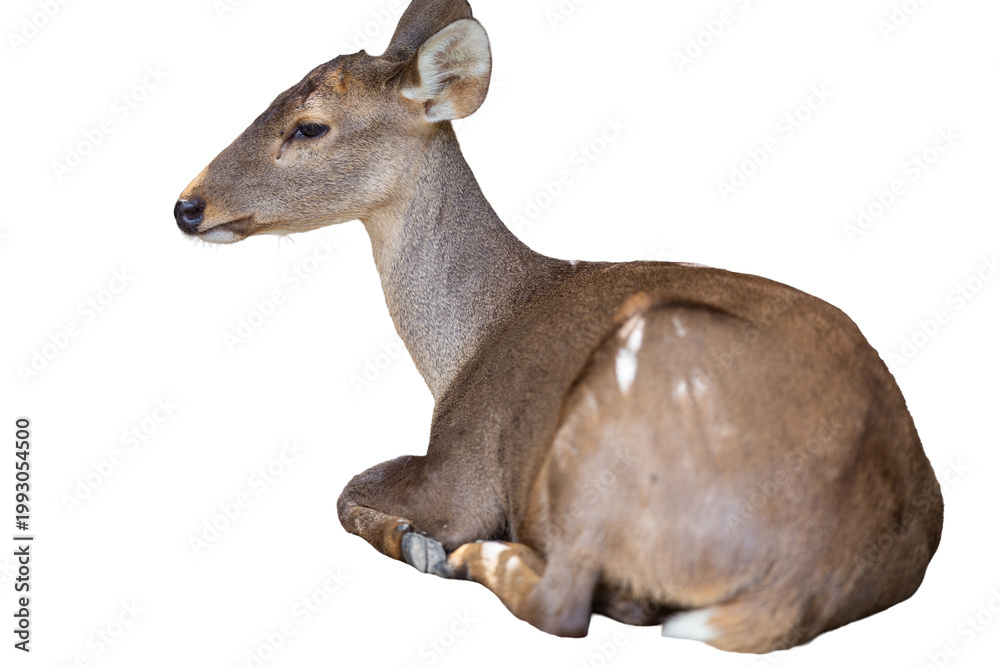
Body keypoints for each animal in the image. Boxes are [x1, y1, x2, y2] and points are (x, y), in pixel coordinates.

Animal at [174, 0, 943, 653]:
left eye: (310, 125)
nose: (187, 204)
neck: (468, 343)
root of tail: (808, 579)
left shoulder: (464, 468)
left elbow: (347, 491)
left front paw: (419, 543)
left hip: (607, 430)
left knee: (563, 604)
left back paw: (483, 558)